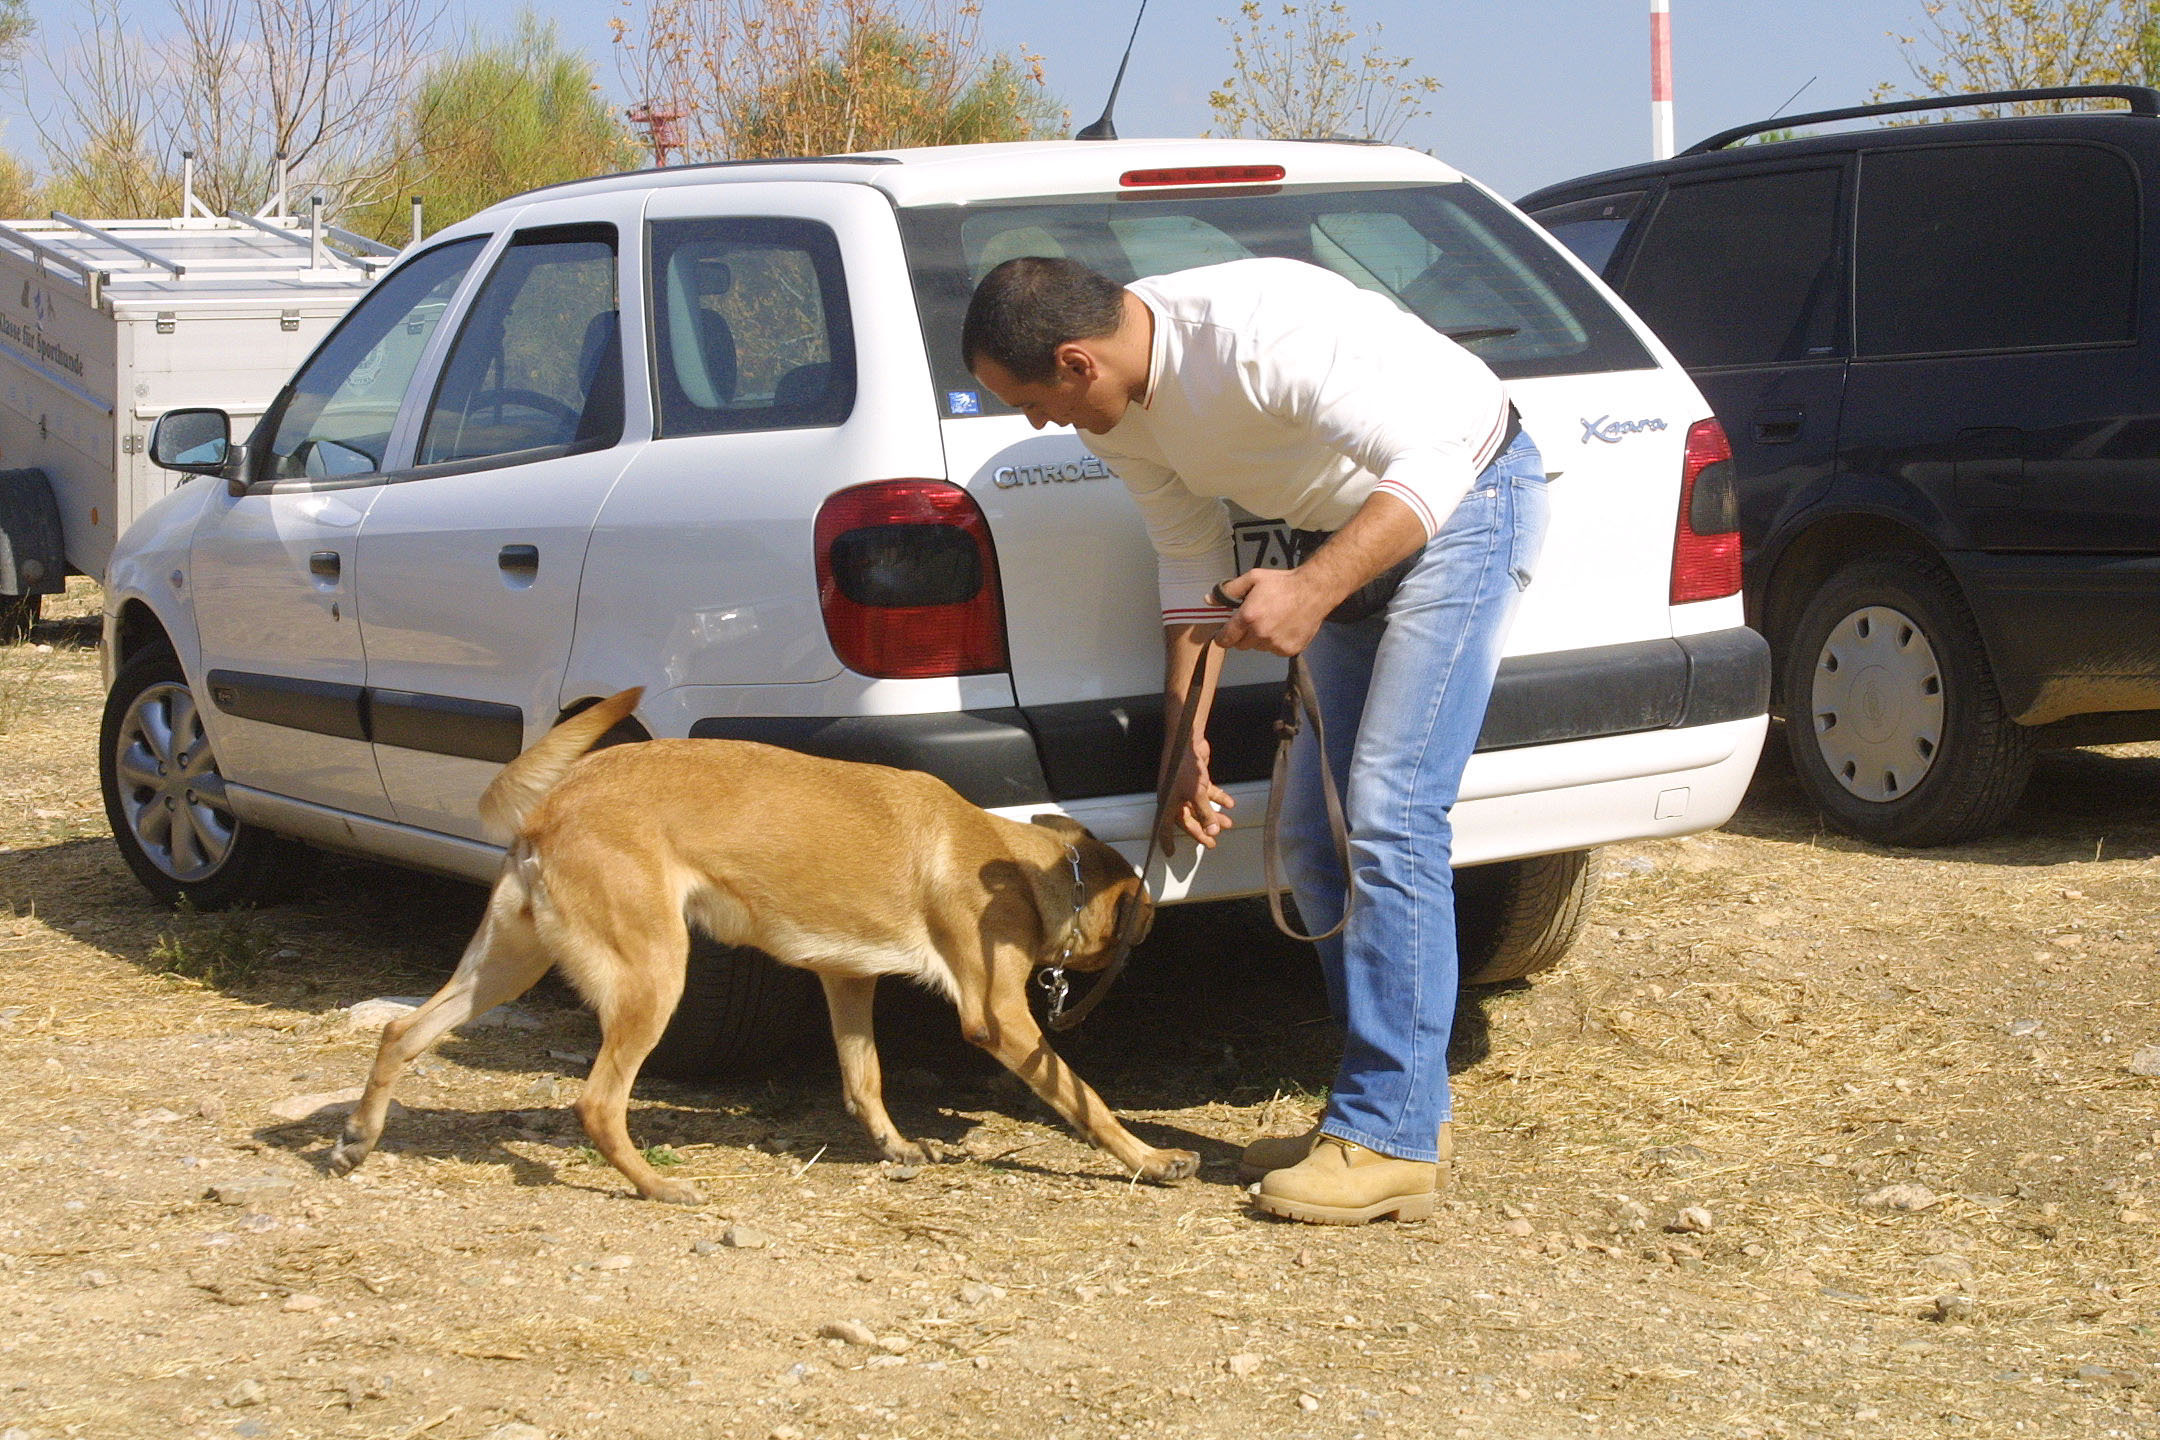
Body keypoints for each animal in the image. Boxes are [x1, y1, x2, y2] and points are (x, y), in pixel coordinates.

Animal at [332, 690, 1200, 1208]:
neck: (1008, 858)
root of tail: (556, 803)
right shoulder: (999, 1020)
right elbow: (1086, 1099)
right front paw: (1152, 1159)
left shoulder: (848, 982)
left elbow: (864, 1080)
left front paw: (893, 1146)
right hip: (654, 978)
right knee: (597, 1103)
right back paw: (657, 1187)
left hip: (506, 967)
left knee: (400, 1031)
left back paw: (356, 1141)